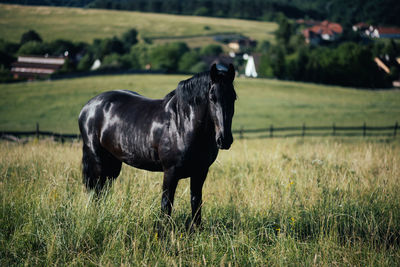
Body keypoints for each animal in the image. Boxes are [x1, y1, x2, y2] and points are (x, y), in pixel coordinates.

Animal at [77, 63, 236, 225]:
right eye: (212, 97)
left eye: (234, 97)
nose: (224, 139)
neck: (181, 124)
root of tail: (88, 107)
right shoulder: (170, 172)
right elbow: (166, 205)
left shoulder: (200, 172)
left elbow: (196, 203)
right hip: (97, 160)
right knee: (96, 191)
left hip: (113, 163)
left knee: (103, 191)